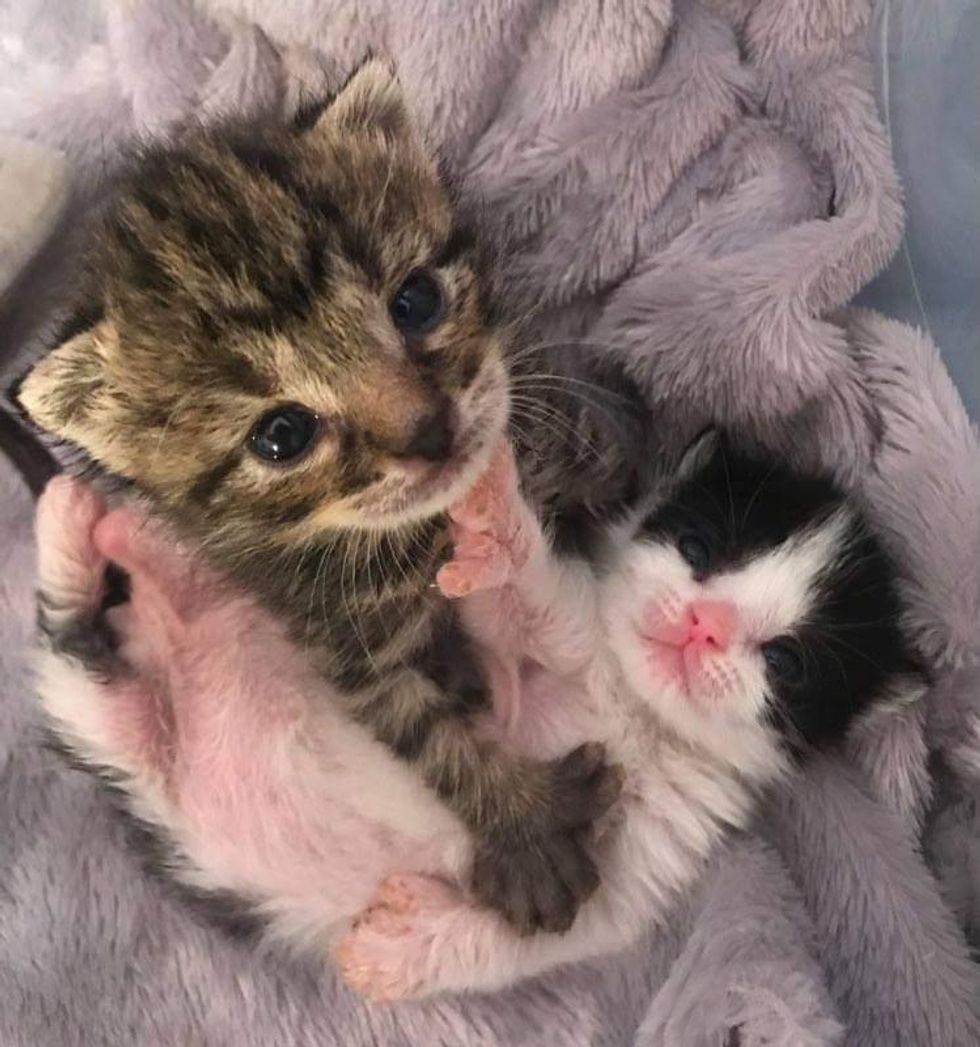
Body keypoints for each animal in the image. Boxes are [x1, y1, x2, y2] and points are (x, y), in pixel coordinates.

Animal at [15, 61, 619, 933]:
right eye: (282, 435)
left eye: (415, 301)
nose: (430, 430)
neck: (407, 536)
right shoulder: (347, 644)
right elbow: (431, 734)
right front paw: (528, 827)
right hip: (91, 708)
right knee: (69, 635)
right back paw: (76, 511)